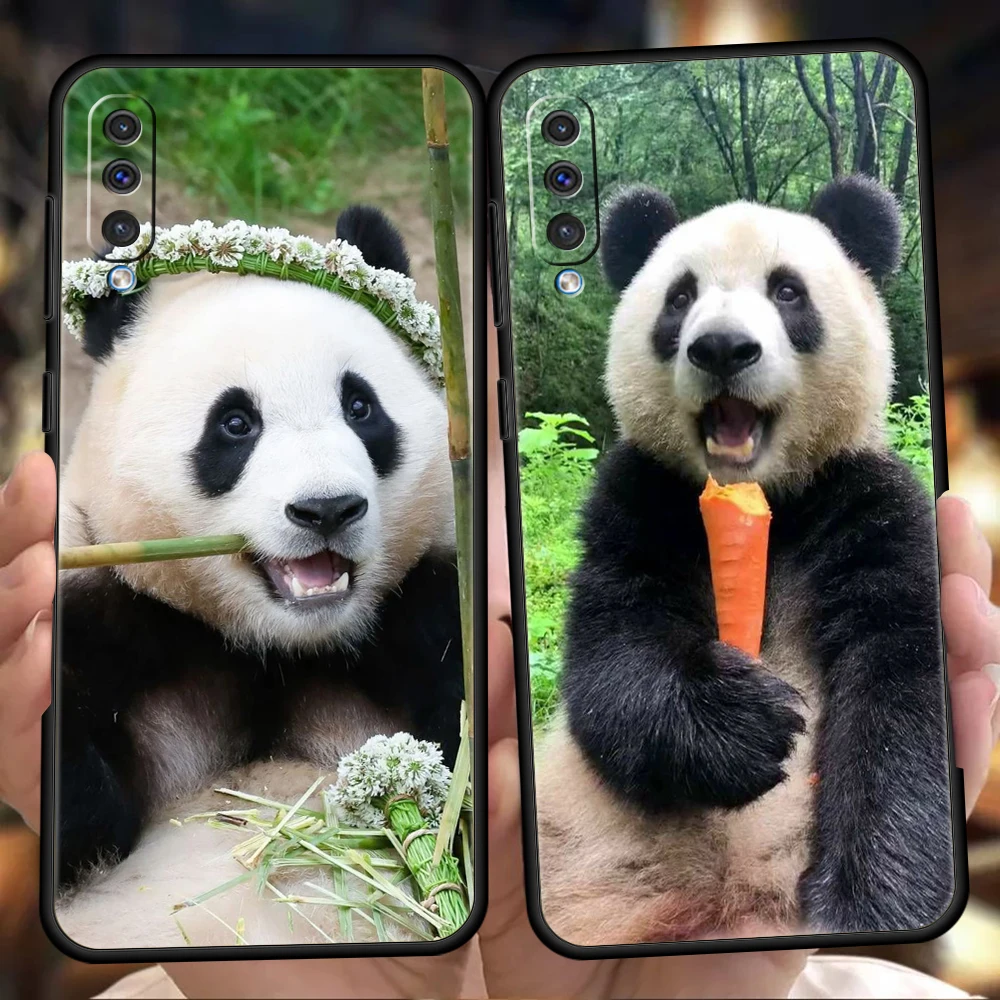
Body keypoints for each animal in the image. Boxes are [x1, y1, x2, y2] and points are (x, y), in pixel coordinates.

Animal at [53, 207, 463, 949]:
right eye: (236, 423)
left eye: (361, 408)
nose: (327, 509)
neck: (275, 650)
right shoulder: (113, 608)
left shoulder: (423, 606)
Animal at [534, 175, 955, 945]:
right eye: (679, 297)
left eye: (787, 291)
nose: (723, 348)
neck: (764, 503)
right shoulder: (641, 501)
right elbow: (616, 653)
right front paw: (744, 723)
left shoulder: (870, 508)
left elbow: (902, 698)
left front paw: (870, 909)